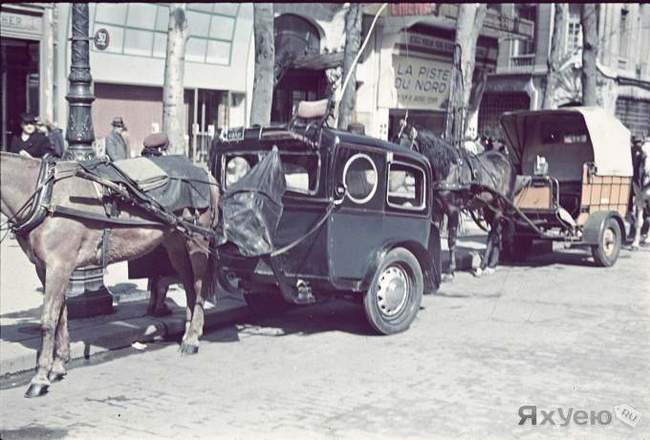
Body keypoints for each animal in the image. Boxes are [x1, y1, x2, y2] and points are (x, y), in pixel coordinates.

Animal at [0, 153, 220, 398]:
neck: (44, 193)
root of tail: (203, 170)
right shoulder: (46, 268)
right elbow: (61, 315)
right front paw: (58, 366)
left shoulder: (58, 265)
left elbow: (48, 320)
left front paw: (40, 379)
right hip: (175, 243)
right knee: (190, 287)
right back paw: (189, 332)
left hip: (197, 240)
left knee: (198, 287)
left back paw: (192, 339)